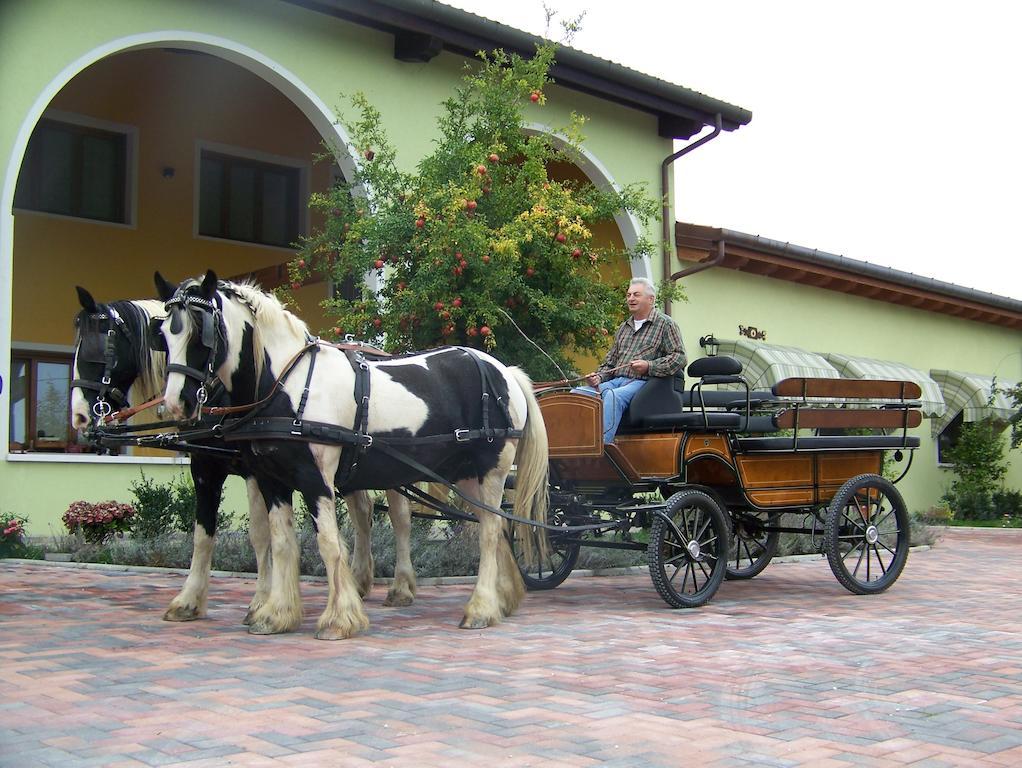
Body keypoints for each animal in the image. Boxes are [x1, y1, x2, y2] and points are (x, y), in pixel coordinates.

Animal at [70, 288, 416, 625]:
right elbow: (203, 535)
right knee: (363, 513)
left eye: (98, 349)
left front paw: (261, 602)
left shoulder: (254, 471)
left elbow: (261, 535)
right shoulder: (205, 467)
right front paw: (189, 600)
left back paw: (401, 586)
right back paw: (359, 581)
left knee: (399, 518)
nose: (79, 417)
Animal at [151, 274, 547, 638]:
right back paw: (504, 598)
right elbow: (280, 543)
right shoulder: (269, 477)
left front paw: (339, 618)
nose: (177, 403)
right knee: (495, 525)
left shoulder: (314, 477)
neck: (287, 385)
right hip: (465, 475)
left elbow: (328, 543)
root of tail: (503, 371)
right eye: (165, 336)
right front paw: (276, 614)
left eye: (200, 332)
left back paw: (481, 607)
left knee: (490, 531)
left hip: (491, 468)